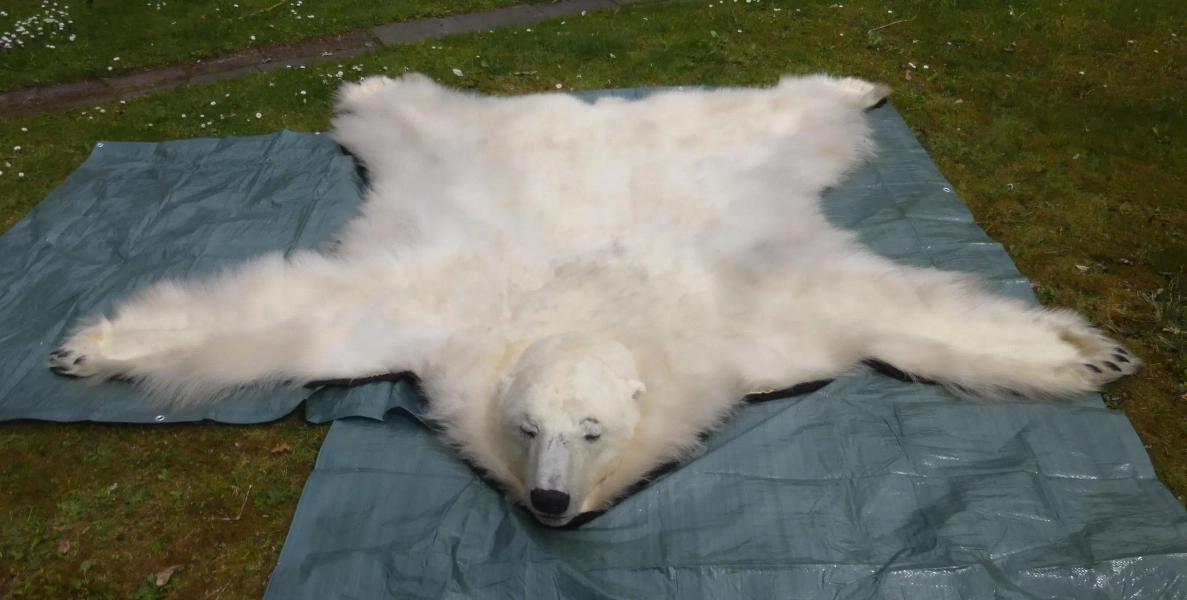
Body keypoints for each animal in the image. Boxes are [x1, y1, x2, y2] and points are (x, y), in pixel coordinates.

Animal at [48, 73, 1139, 527]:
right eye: (525, 428)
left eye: (590, 430)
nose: (545, 500)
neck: (589, 300)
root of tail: (590, 113)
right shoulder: (422, 312)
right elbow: (289, 321)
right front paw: (92, 344)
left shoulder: (759, 317)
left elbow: (892, 316)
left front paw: (1083, 353)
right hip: (453, 151)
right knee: (410, 114)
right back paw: (369, 90)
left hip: (743, 140)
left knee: (796, 112)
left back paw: (853, 87)